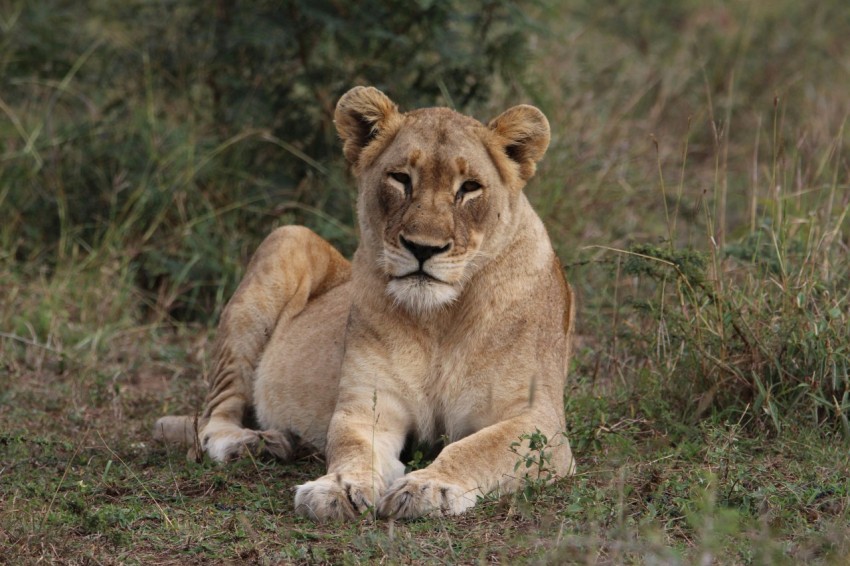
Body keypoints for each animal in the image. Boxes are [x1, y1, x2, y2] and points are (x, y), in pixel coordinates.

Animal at [154, 86, 576, 520]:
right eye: (401, 178)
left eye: (469, 188)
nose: (423, 248)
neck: (440, 319)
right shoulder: (367, 405)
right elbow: (352, 447)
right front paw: (339, 487)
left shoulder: (538, 422)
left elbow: (477, 448)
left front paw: (429, 486)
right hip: (286, 239)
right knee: (212, 419)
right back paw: (253, 444)